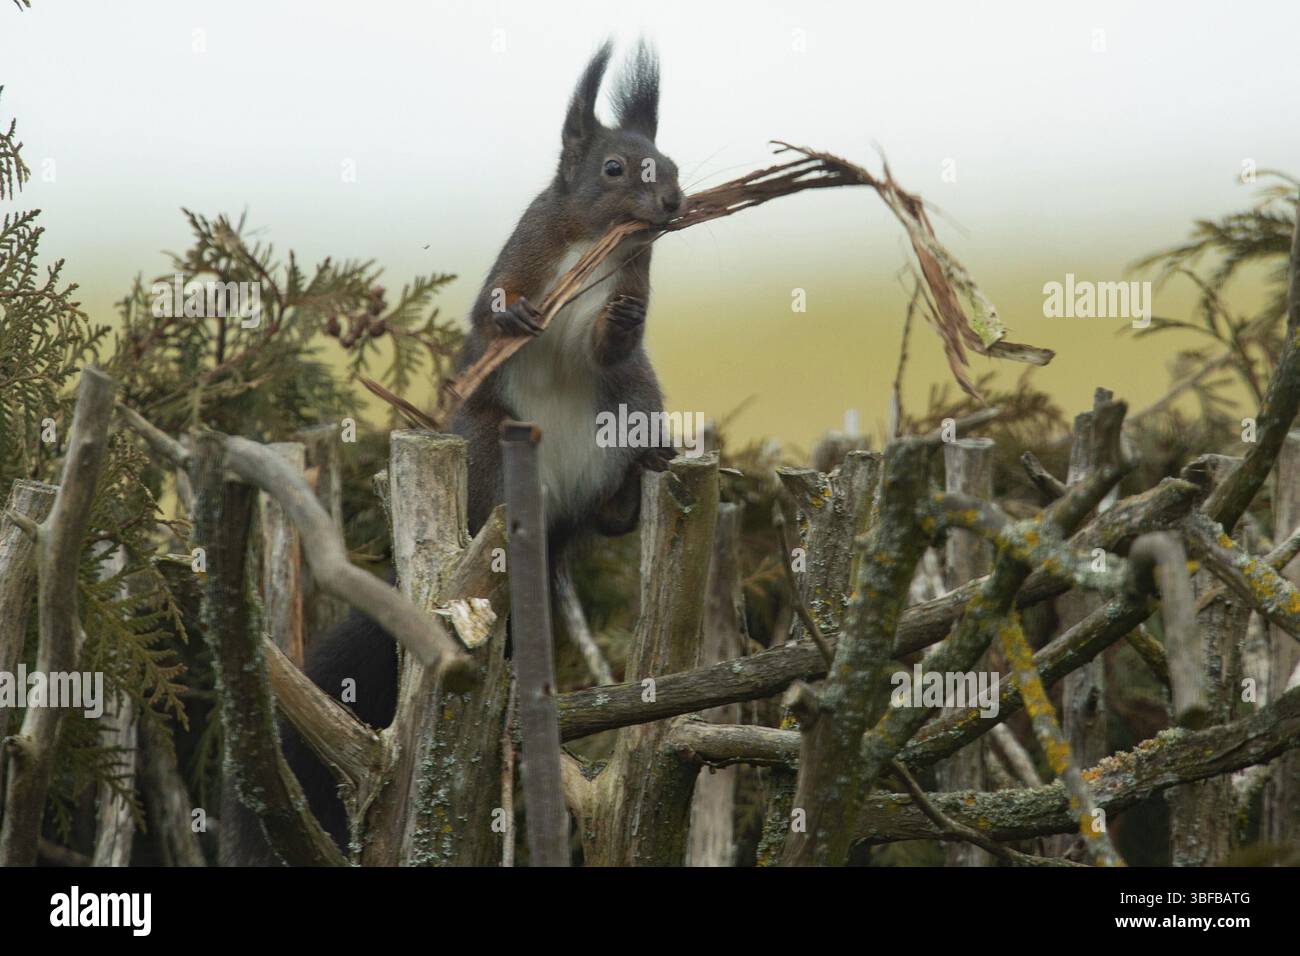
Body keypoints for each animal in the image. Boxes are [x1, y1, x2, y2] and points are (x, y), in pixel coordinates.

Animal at [224, 41, 682, 863]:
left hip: (630, 410)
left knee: (616, 510)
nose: (676, 203)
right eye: (615, 169)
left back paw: (635, 487)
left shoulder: (634, 277)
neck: (590, 248)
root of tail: (555, 504)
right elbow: (487, 308)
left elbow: (612, 341)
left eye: (672, 162)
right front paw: (514, 312)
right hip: (489, 443)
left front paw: (624, 317)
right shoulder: (526, 251)